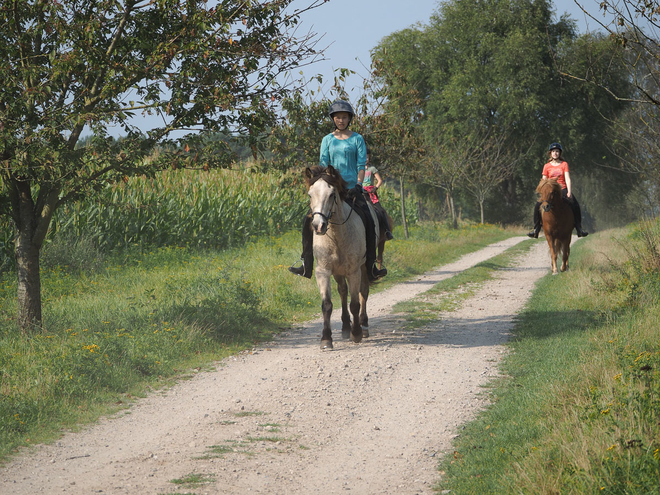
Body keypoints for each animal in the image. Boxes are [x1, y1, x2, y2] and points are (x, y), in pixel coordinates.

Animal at [304, 166, 376, 348]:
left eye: (331, 194)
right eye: (310, 194)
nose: (318, 226)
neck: (337, 236)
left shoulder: (354, 271)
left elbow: (355, 303)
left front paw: (356, 333)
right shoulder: (323, 271)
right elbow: (327, 305)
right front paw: (326, 339)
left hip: (364, 267)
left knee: (363, 292)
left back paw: (363, 326)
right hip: (337, 271)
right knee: (343, 291)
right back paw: (345, 327)